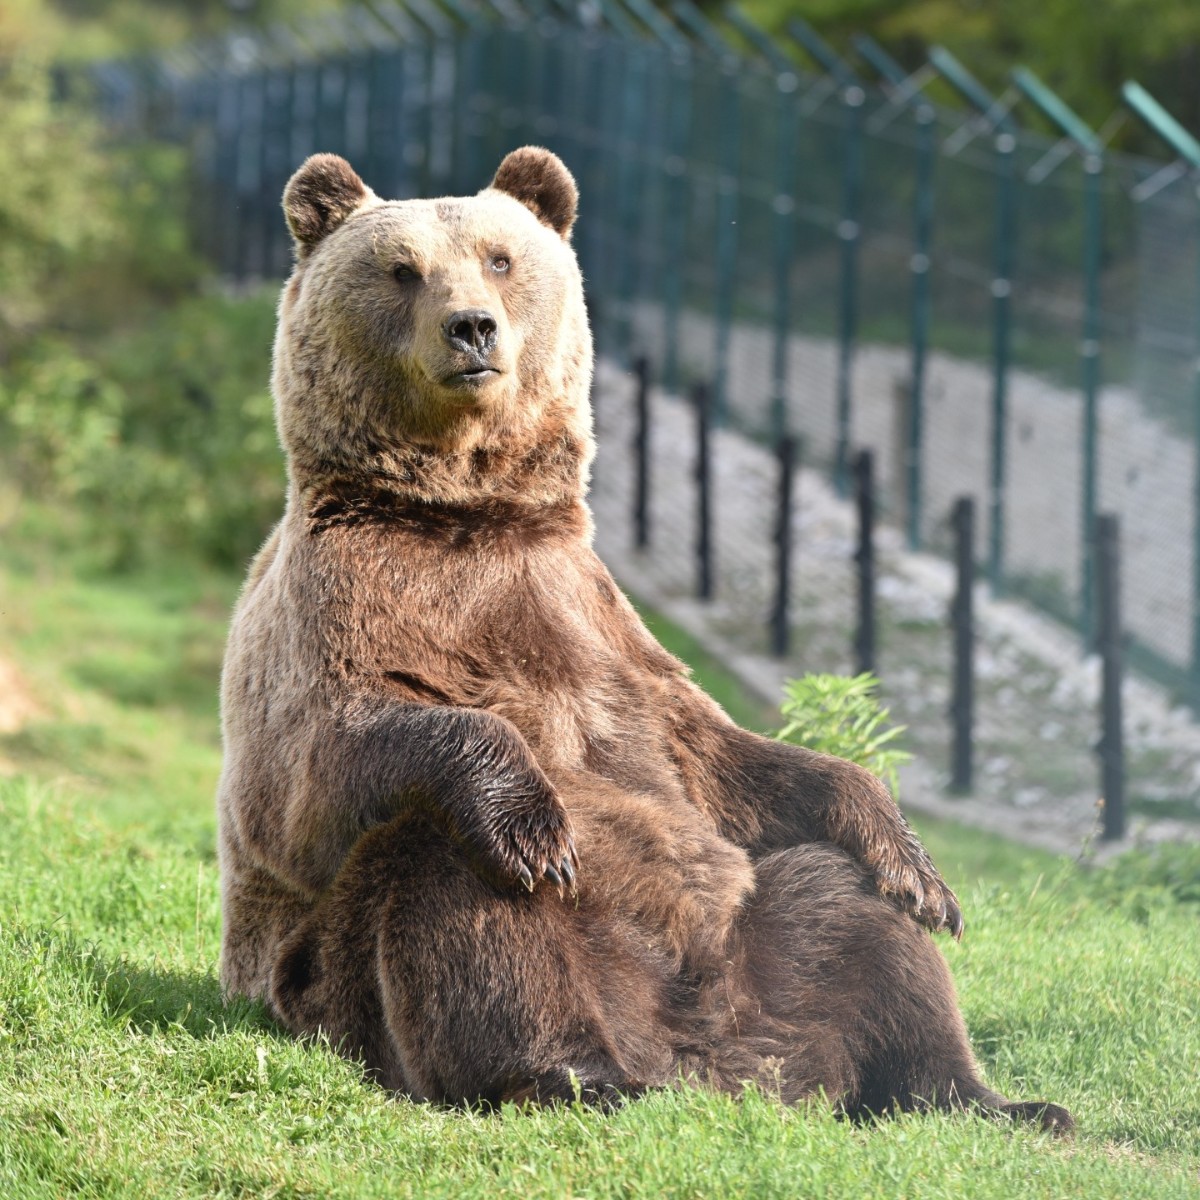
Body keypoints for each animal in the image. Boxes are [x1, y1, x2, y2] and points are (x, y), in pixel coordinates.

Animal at [216, 145, 1071, 1130]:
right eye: (403, 269)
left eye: (501, 258)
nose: (472, 328)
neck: (466, 517)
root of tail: (707, 1064)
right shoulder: (344, 606)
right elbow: (320, 766)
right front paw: (535, 819)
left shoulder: (596, 622)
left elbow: (722, 757)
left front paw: (917, 864)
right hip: (351, 978)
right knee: (454, 884)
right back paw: (574, 1071)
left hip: (751, 948)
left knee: (849, 918)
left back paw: (991, 1095)